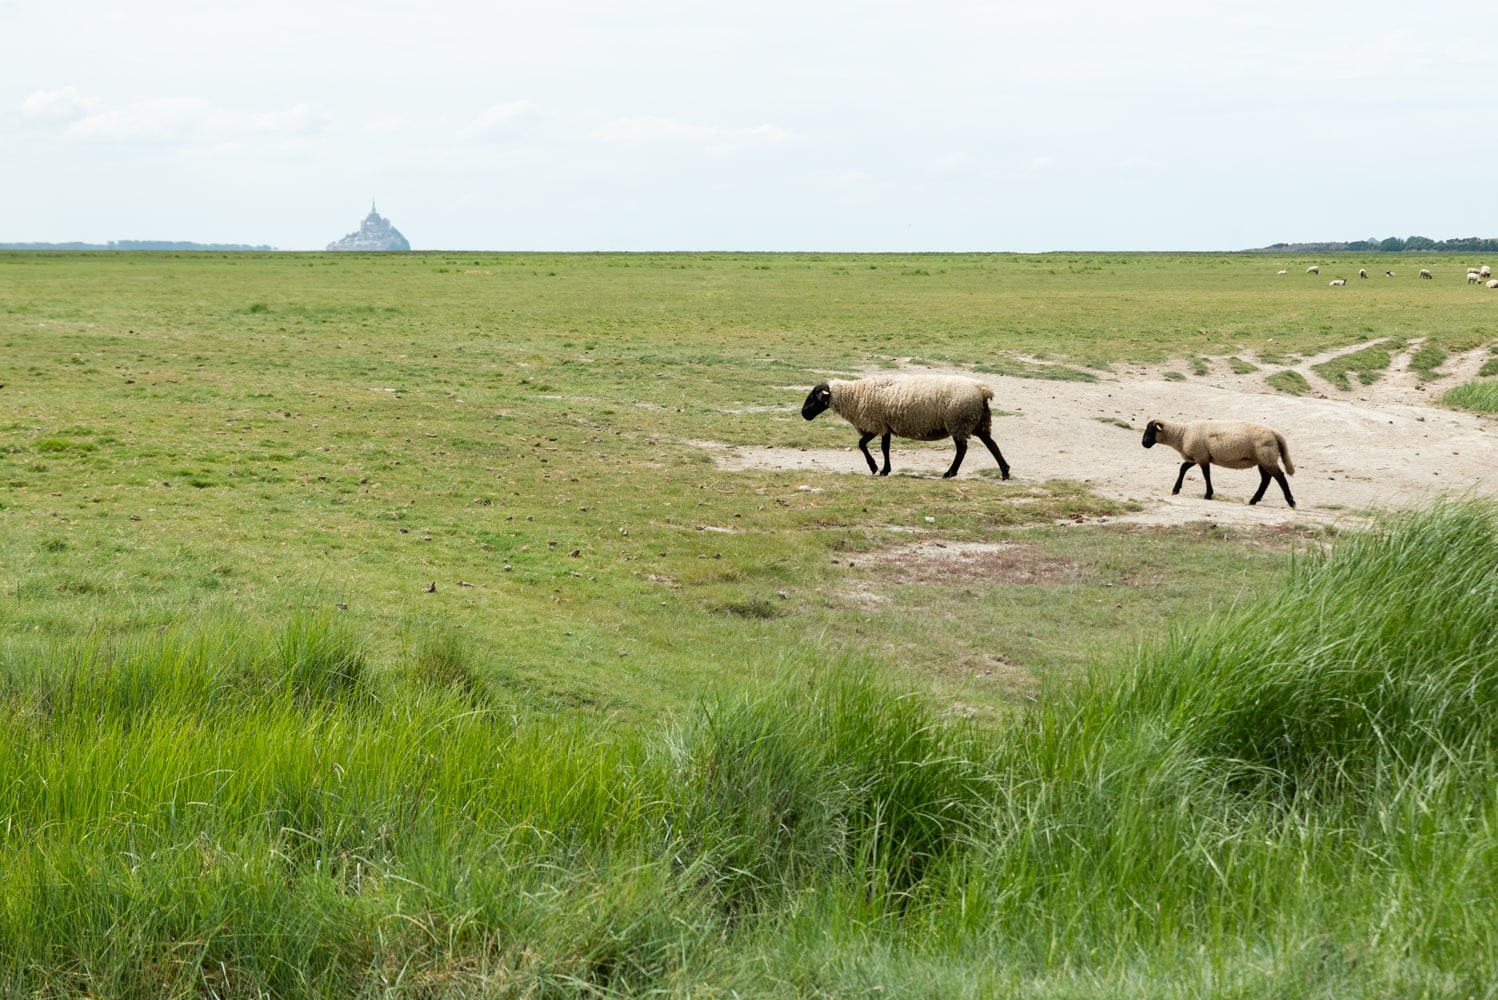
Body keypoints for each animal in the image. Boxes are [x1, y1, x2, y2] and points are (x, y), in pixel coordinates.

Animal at [802, 372, 1012, 479]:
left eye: (814, 397)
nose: (804, 414)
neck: (855, 395)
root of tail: (982, 389)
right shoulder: (885, 425)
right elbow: (885, 448)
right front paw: (885, 469)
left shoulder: (875, 423)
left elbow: (862, 444)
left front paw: (875, 468)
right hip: (977, 421)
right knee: (991, 444)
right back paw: (1005, 471)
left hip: (958, 421)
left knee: (962, 449)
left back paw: (949, 473)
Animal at [1138, 419, 1294, 508]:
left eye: (1150, 430)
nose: (1144, 443)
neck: (1181, 434)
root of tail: (1276, 433)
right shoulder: (1198, 456)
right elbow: (1183, 468)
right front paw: (1176, 489)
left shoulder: (1201, 456)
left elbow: (1206, 474)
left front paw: (1208, 494)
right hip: (1262, 459)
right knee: (1266, 479)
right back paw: (1254, 500)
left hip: (1267, 457)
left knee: (1280, 477)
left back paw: (1291, 501)